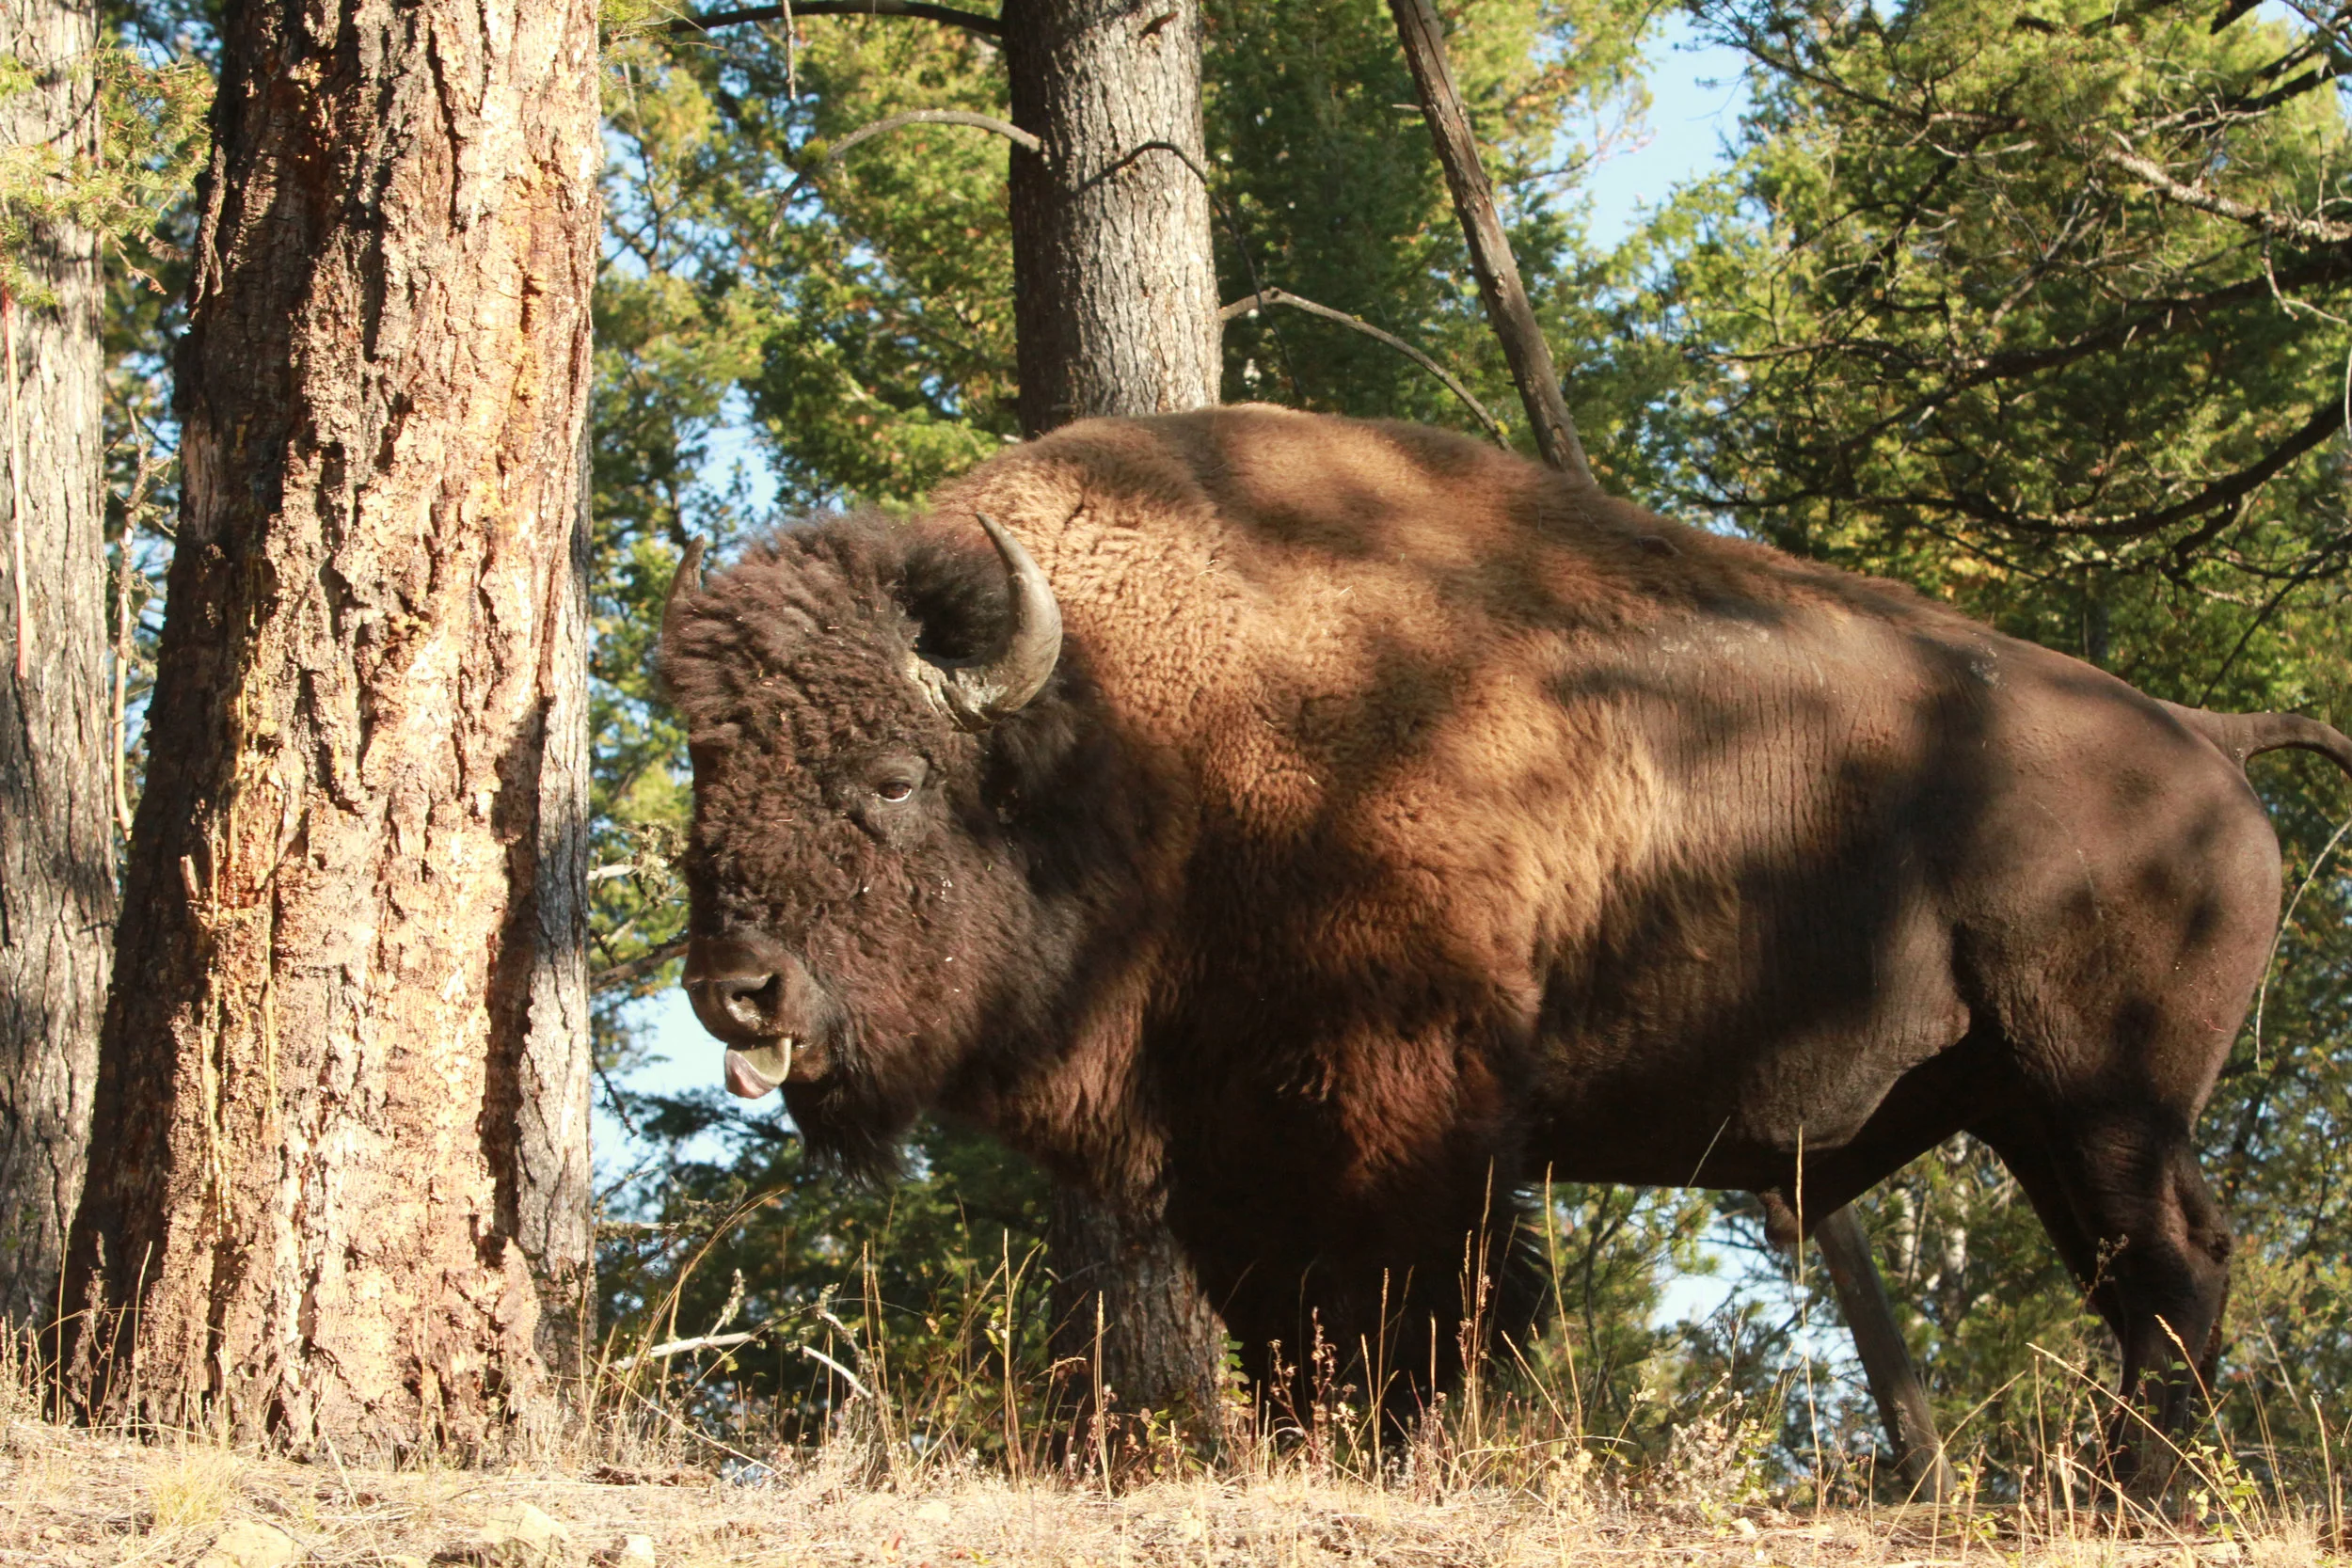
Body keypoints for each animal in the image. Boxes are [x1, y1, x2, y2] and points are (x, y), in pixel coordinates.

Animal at [660, 406, 2351, 1458]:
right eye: (703, 770)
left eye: (892, 774)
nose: (739, 988)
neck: (1138, 725)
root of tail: (2205, 742)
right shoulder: (1236, 1141)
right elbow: (1291, 1321)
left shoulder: (1407, 1110)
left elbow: (1421, 1306)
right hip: (2026, 1108)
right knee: (2150, 1285)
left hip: (2101, 1096)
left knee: (2180, 1275)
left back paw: (2138, 1492)